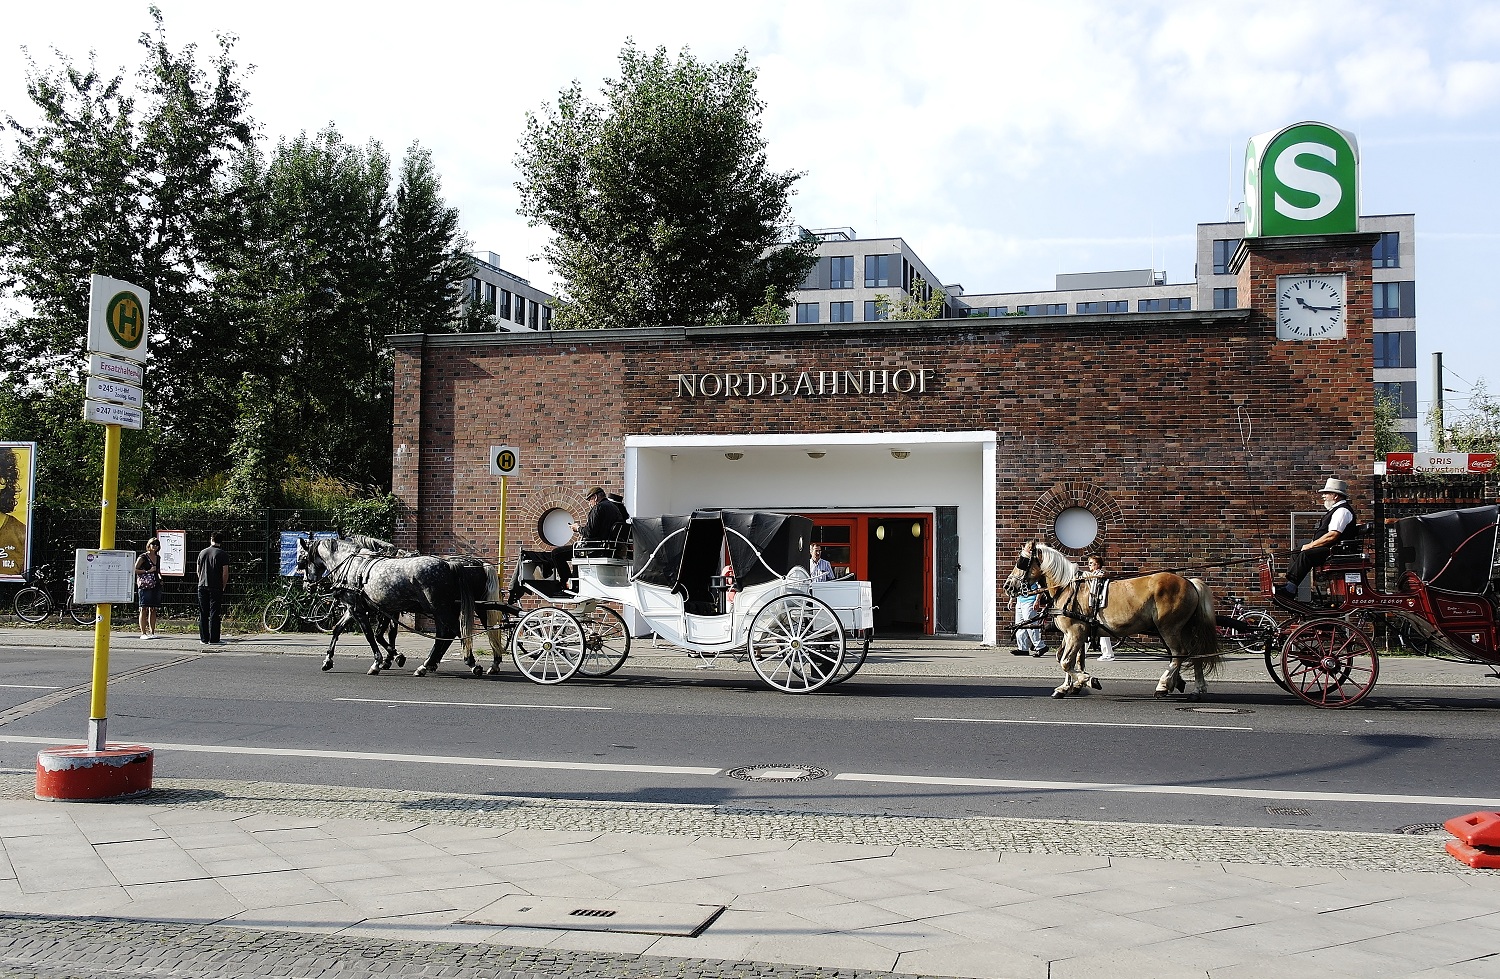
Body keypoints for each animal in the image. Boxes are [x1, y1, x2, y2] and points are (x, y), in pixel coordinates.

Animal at [1002, 542, 1224, 695]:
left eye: (1022, 561)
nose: (1008, 586)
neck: (1067, 587)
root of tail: (1189, 582)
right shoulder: (1073, 634)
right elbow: (1068, 658)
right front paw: (1068, 687)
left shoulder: (1075, 632)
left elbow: (1066, 661)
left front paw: (1086, 680)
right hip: (1184, 628)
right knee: (1195, 653)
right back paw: (1195, 687)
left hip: (1169, 628)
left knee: (1179, 654)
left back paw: (1164, 685)